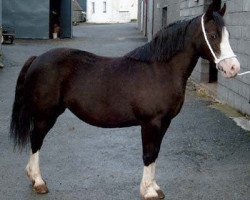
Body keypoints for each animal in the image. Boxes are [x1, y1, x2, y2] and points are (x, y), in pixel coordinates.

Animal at [10, 0, 240, 199]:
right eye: (213, 35)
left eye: (228, 35)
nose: (233, 68)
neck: (160, 70)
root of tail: (37, 59)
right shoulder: (150, 123)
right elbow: (148, 154)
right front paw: (148, 191)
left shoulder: (164, 123)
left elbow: (155, 153)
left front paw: (154, 187)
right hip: (45, 115)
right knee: (36, 141)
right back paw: (38, 181)